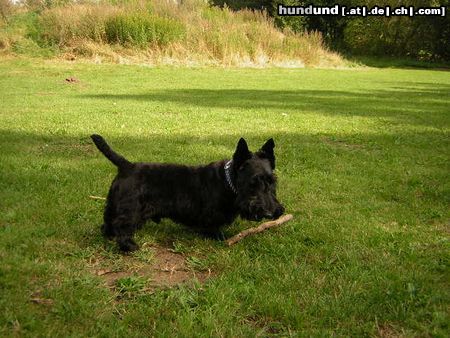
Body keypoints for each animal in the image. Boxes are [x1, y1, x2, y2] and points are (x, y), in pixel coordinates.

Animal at [89, 135, 284, 251]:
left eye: (272, 181)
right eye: (252, 183)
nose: (270, 213)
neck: (228, 182)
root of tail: (127, 166)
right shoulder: (211, 216)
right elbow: (213, 227)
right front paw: (220, 237)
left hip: (113, 203)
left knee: (108, 221)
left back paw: (109, 236)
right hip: (130, 209)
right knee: (122, 224)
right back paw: (128, 245)